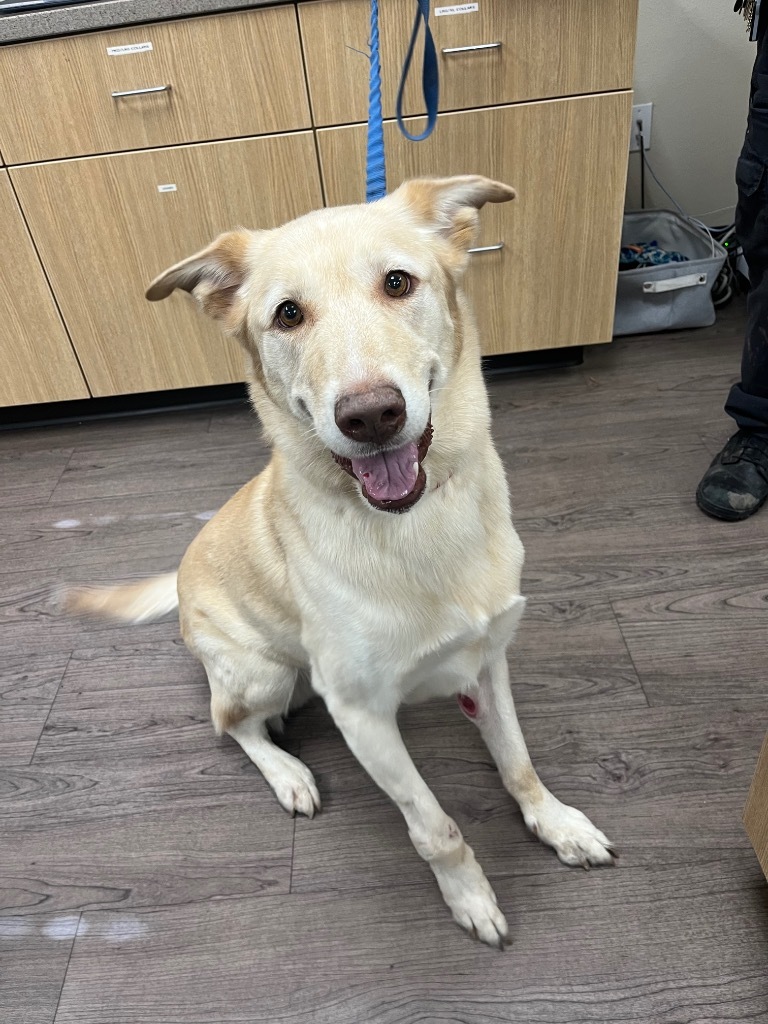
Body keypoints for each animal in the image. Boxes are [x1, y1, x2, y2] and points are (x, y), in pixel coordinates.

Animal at [67, 178, 618, 950]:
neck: (414, 525)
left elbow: (518, 762)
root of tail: (179, 579)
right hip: (265, 672)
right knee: (228, 722)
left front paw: (557, 824)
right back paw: (288, 773)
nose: (371, 415)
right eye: (287, 314)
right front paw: (470, 898)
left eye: (398, 282)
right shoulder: (362, 715)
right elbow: (436, 828)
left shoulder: (486, 663)